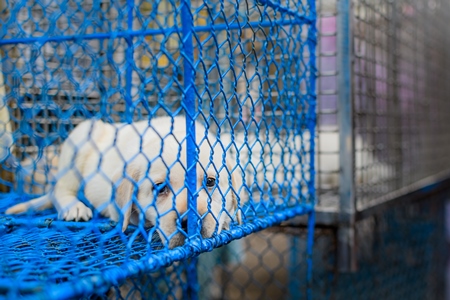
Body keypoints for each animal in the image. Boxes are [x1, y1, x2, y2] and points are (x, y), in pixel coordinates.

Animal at [6, 116, 243, 247]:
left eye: (210, 181)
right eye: (160, 188)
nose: (189, 223)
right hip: (80, 139)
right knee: (60, 189)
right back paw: (74, 207)